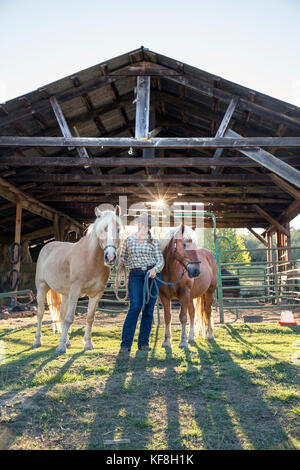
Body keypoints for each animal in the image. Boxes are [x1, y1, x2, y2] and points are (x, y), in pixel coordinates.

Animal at [33, 207, 122, 354]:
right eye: (102, 229)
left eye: (118, 229)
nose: (110, 256)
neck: (91, 260)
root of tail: (47, 246)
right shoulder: (75, 292)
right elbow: (70, 319)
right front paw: (61, 347)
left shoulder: (96, 294)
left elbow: (90, 318)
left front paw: (88, 344)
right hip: (42, 287)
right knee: (40, 314)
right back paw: (37, 341)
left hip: (65, 294)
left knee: (62, 314)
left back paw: (67, 341)